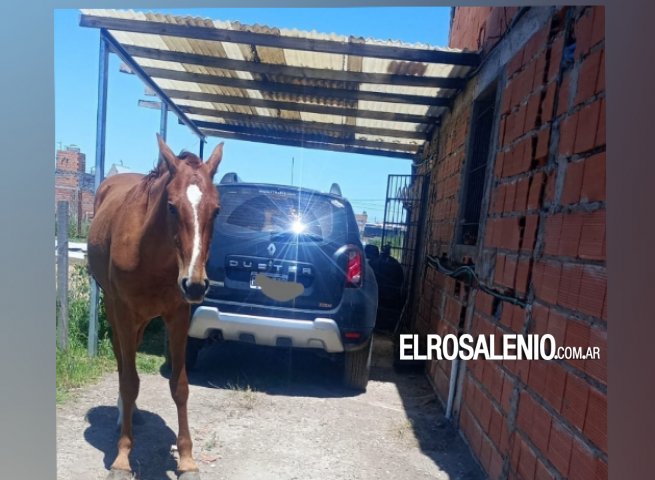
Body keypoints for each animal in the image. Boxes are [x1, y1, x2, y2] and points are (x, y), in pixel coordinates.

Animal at [87, 134, 224, 480]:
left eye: (216, 210)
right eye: (172, 206)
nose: (195, 284)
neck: (150, 253)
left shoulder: (178, 315)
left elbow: (180, 385)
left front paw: (187, 460)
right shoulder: (124, 311)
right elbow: (129, 380)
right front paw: (122, 458)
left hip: (143, 318)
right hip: (115, 309)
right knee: (122, 361)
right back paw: (123, 414)